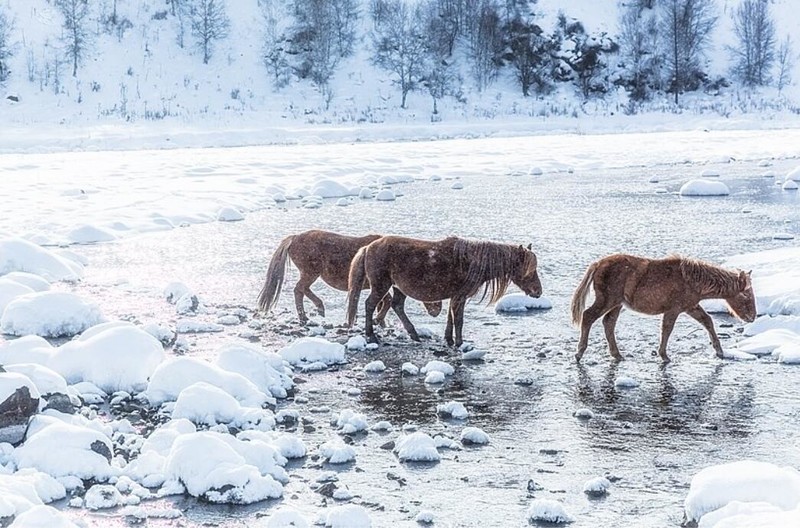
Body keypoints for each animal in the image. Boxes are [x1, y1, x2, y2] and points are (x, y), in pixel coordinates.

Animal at [258, 230, 440, 324]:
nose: (436, 312)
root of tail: (294, 237)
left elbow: (384, 302)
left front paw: (378, 319)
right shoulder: (379, 284)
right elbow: (386, 301)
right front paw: (378, 319)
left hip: (311, 273)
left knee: (303, 289)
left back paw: (318, 309)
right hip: (310, 272)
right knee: (299, 289)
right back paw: (306, 315)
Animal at [346, 235, 544, 346]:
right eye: (528, 269)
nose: (538, 291)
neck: (471, 261)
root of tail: (368, 247)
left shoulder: (454, 297)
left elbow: (450, 319)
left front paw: (449, 340)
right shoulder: (460, 297)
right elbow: (459, 320)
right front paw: (459, 343)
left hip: (398, 288)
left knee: (397, 306)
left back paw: (414, 334)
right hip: (381, 286)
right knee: (370, 305)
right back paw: (371, 336)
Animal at [572, 255, 752, 364]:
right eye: (746, 294)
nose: (752, 316)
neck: (695, 282)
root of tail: (597, 265)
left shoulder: (690, 306)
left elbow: (707, 321)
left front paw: (719, 351)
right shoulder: (674, 309)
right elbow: (667, 329)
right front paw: (664, 355)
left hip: (617, 304)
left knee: (608, 323)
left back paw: (617, 354)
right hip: (607, 300)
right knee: (588, 316)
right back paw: (579, 352)